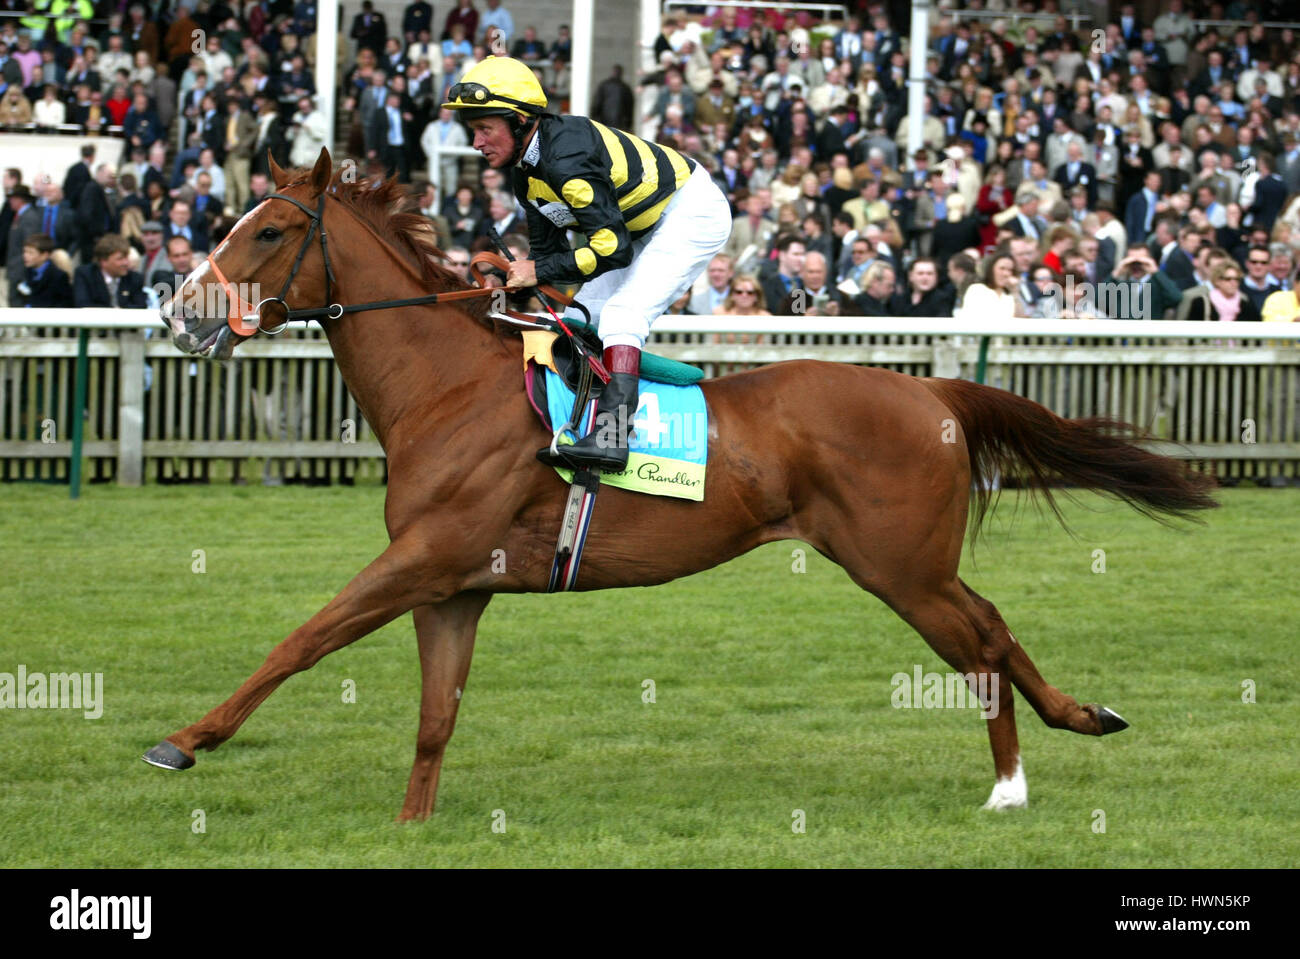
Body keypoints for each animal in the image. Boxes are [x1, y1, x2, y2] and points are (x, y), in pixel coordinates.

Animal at [149, 149, 1216, 816]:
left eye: (269, 231)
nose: (177, 311)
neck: (447, 385)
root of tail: (933, 390)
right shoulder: (454, 585)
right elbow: (434, 716)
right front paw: (413, 824)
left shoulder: (423, 556)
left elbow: (302, 640)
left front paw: (186, 739)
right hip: (914, 566)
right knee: (993, 624)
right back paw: (1082, 718)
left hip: (901, 567)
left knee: (982, 639)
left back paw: (1010, 783)